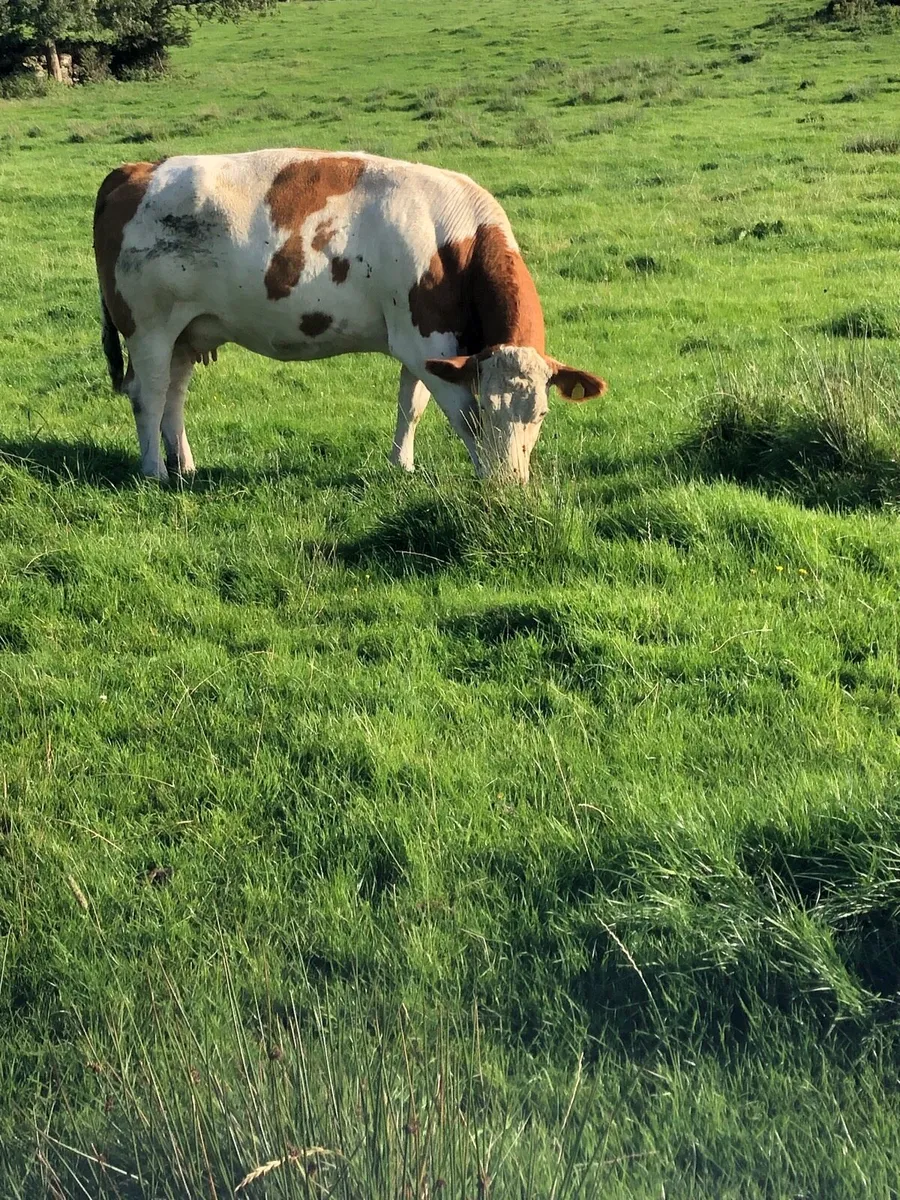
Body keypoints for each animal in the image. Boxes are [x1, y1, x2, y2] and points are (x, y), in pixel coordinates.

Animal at [93, 149, 606, 485]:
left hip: (186, 330)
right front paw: (482, 469)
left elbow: (410, 405)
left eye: (540, 414)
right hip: (148, 327)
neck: (458, 242)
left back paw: (185, 465)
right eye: (489, 407)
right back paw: (154, 472)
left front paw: (402, 465)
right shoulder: (429, 343)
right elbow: (462, 417)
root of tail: (138, 169)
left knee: (174, 395)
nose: (512, 482)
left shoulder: (425, 345)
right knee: (149, 395)